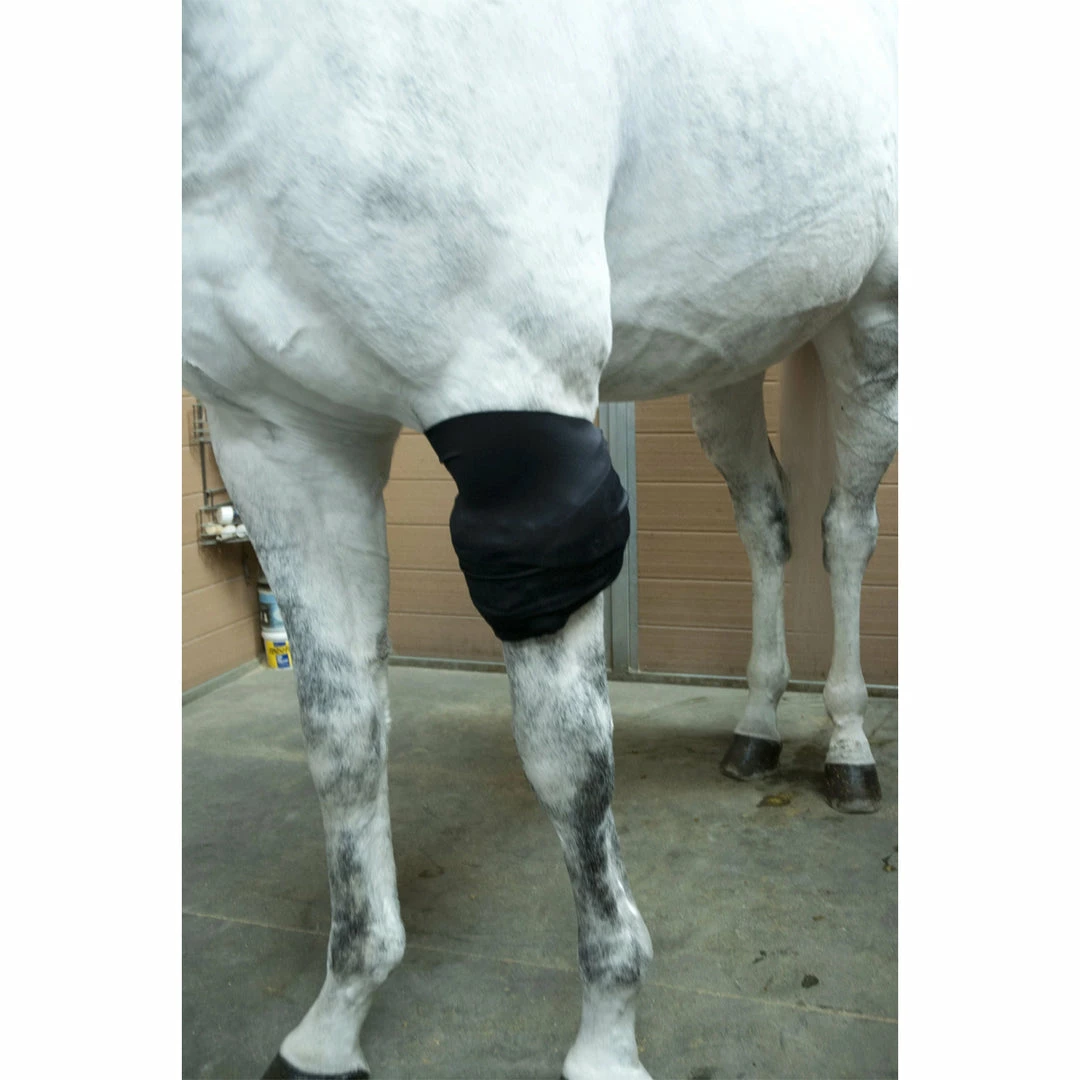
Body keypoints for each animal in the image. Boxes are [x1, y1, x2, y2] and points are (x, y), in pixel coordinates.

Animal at [182, 2, 897, 1077]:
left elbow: (568, 758)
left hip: (872, 325)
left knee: (845, 532)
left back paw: (850, 746)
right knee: (766, 521)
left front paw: (607, 1029)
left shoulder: (517, 428)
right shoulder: (279, 437)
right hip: (731, 341)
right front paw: (336, 1016)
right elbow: (341, 742)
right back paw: (758, 727)